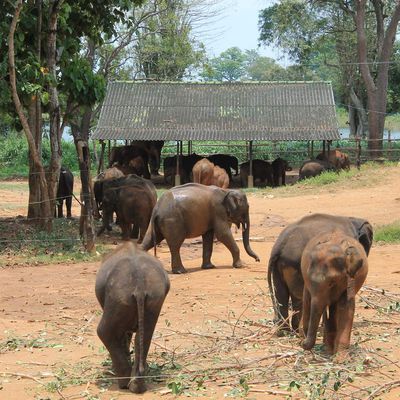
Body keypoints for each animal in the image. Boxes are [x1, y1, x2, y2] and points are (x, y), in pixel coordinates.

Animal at [96, 242, 170, 392]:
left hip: (117, 298)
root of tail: (139, 286)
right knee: (144, 335)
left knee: (104, 331)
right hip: (154, 299)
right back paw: (137, 385)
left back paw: (124, 383)